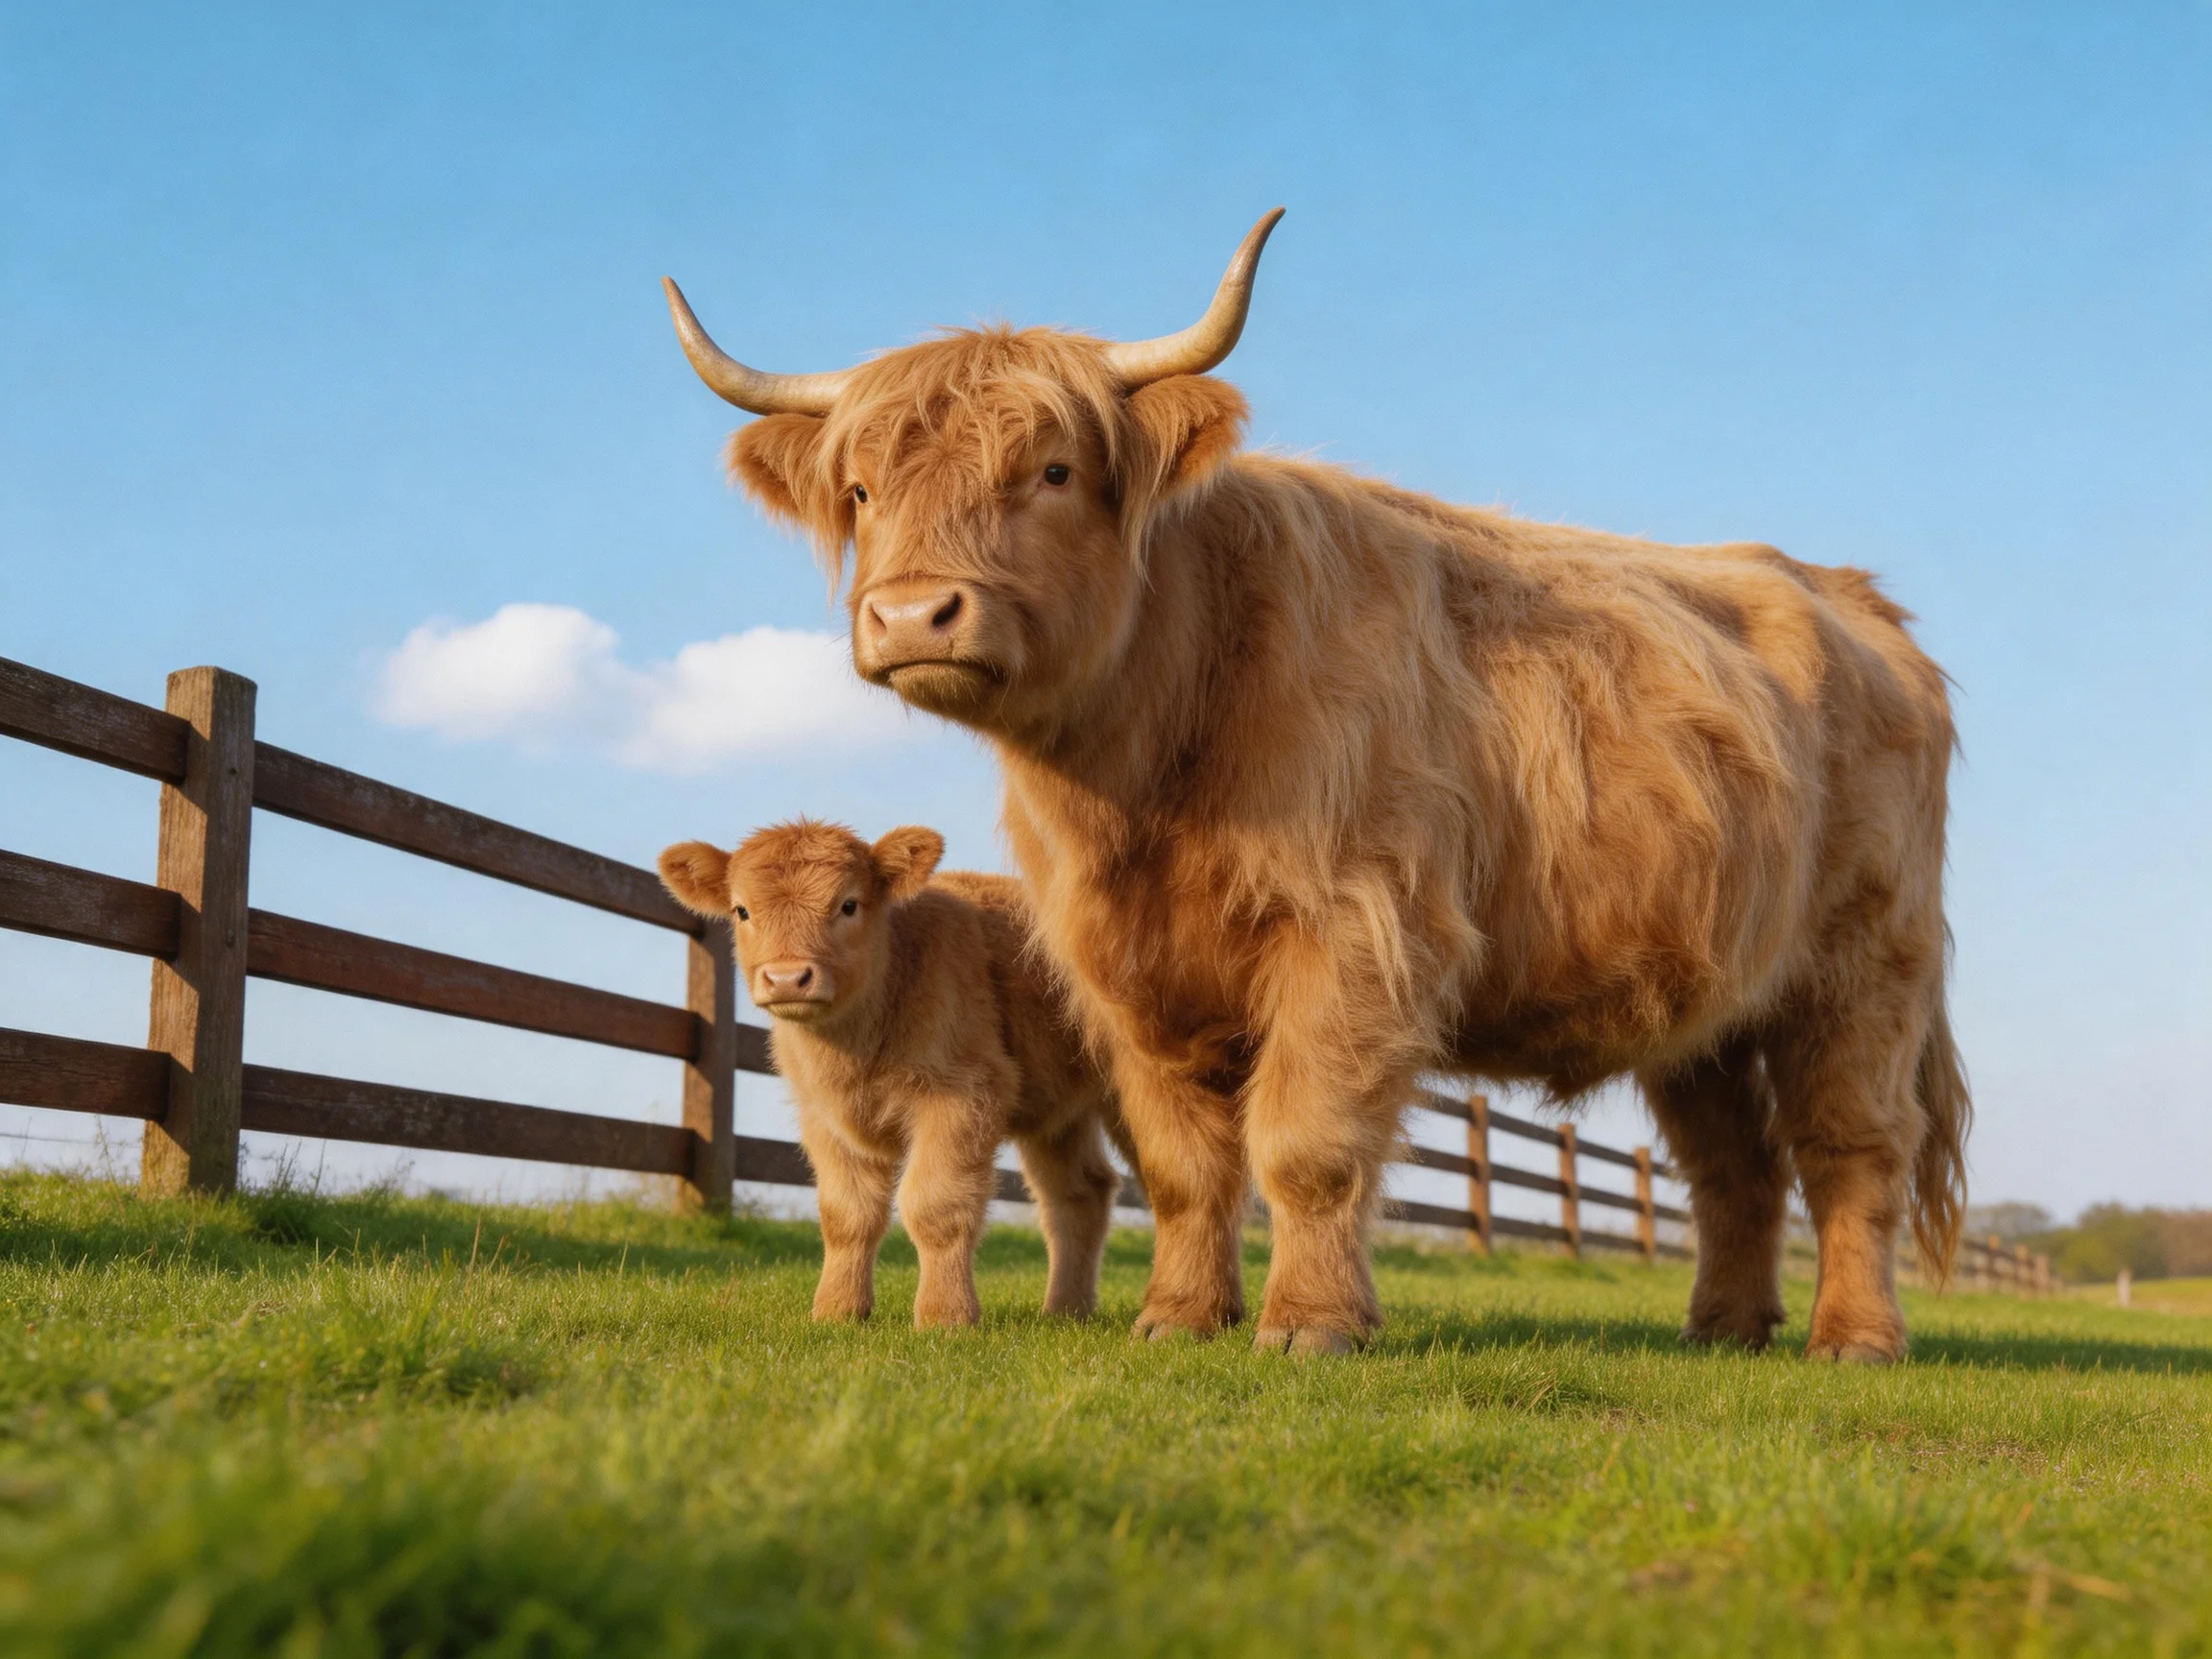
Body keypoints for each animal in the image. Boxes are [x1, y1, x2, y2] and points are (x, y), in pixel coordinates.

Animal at [660, 821, 1128, 1327]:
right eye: (742, 910)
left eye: (848, 904)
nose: (787, 978)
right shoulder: (824, 1117)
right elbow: (846, 1215)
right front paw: (837, 1310)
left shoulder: (963, 1095)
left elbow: (935, 1206)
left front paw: (945, 1316)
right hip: (1056, 1114)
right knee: (1078, 1195)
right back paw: (1065, 1311)